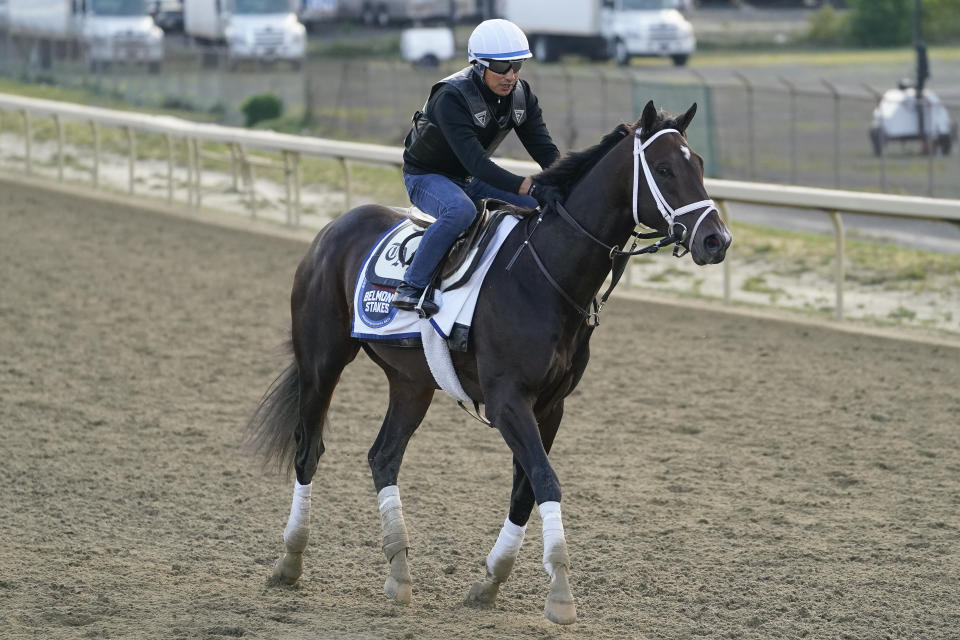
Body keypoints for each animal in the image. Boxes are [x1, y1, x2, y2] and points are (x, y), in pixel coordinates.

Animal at [251, 101, 732, 624]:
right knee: (308, 449)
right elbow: (546, 480)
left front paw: (490, 582)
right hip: (322, 361)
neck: (545, 274)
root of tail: (331, 230)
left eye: (698, 164)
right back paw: (290, 560)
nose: (717, 239)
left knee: (383, 456)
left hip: (411, 383)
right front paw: (560, 593)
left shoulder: (550, 406)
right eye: (663, 169)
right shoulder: (507, 401)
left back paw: (399, 573)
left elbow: (527, 488)